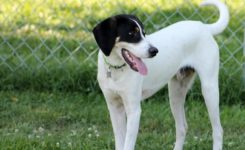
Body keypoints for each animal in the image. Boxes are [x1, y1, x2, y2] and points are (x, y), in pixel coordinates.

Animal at [92, 0, 230, 149]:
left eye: (144, 33)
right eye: (131, 34)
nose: (154, 51)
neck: (116, 70)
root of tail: (203, 27)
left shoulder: (134, 111)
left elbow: (128, 145)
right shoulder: (114, 107)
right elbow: (120, 143)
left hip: (209, 90)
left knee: (218, 130)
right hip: (176, 93)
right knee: (182, 127)